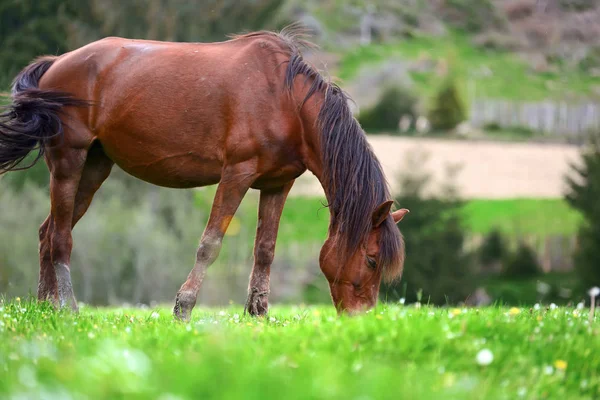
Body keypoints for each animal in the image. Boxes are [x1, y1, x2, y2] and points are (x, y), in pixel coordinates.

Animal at [0, 25, 408, 318]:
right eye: (372, 259)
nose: (360, 319)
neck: (286, 101)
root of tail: (57, 62)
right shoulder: (236, 175)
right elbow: (210, 244)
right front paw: (183, 307)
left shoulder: (278, 184)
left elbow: (265, 249)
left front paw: (258, 315)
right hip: (69, 161)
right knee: (60, 238)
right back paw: (67, 308)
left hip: (95, 167)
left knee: (48, 232)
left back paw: (45, 307)